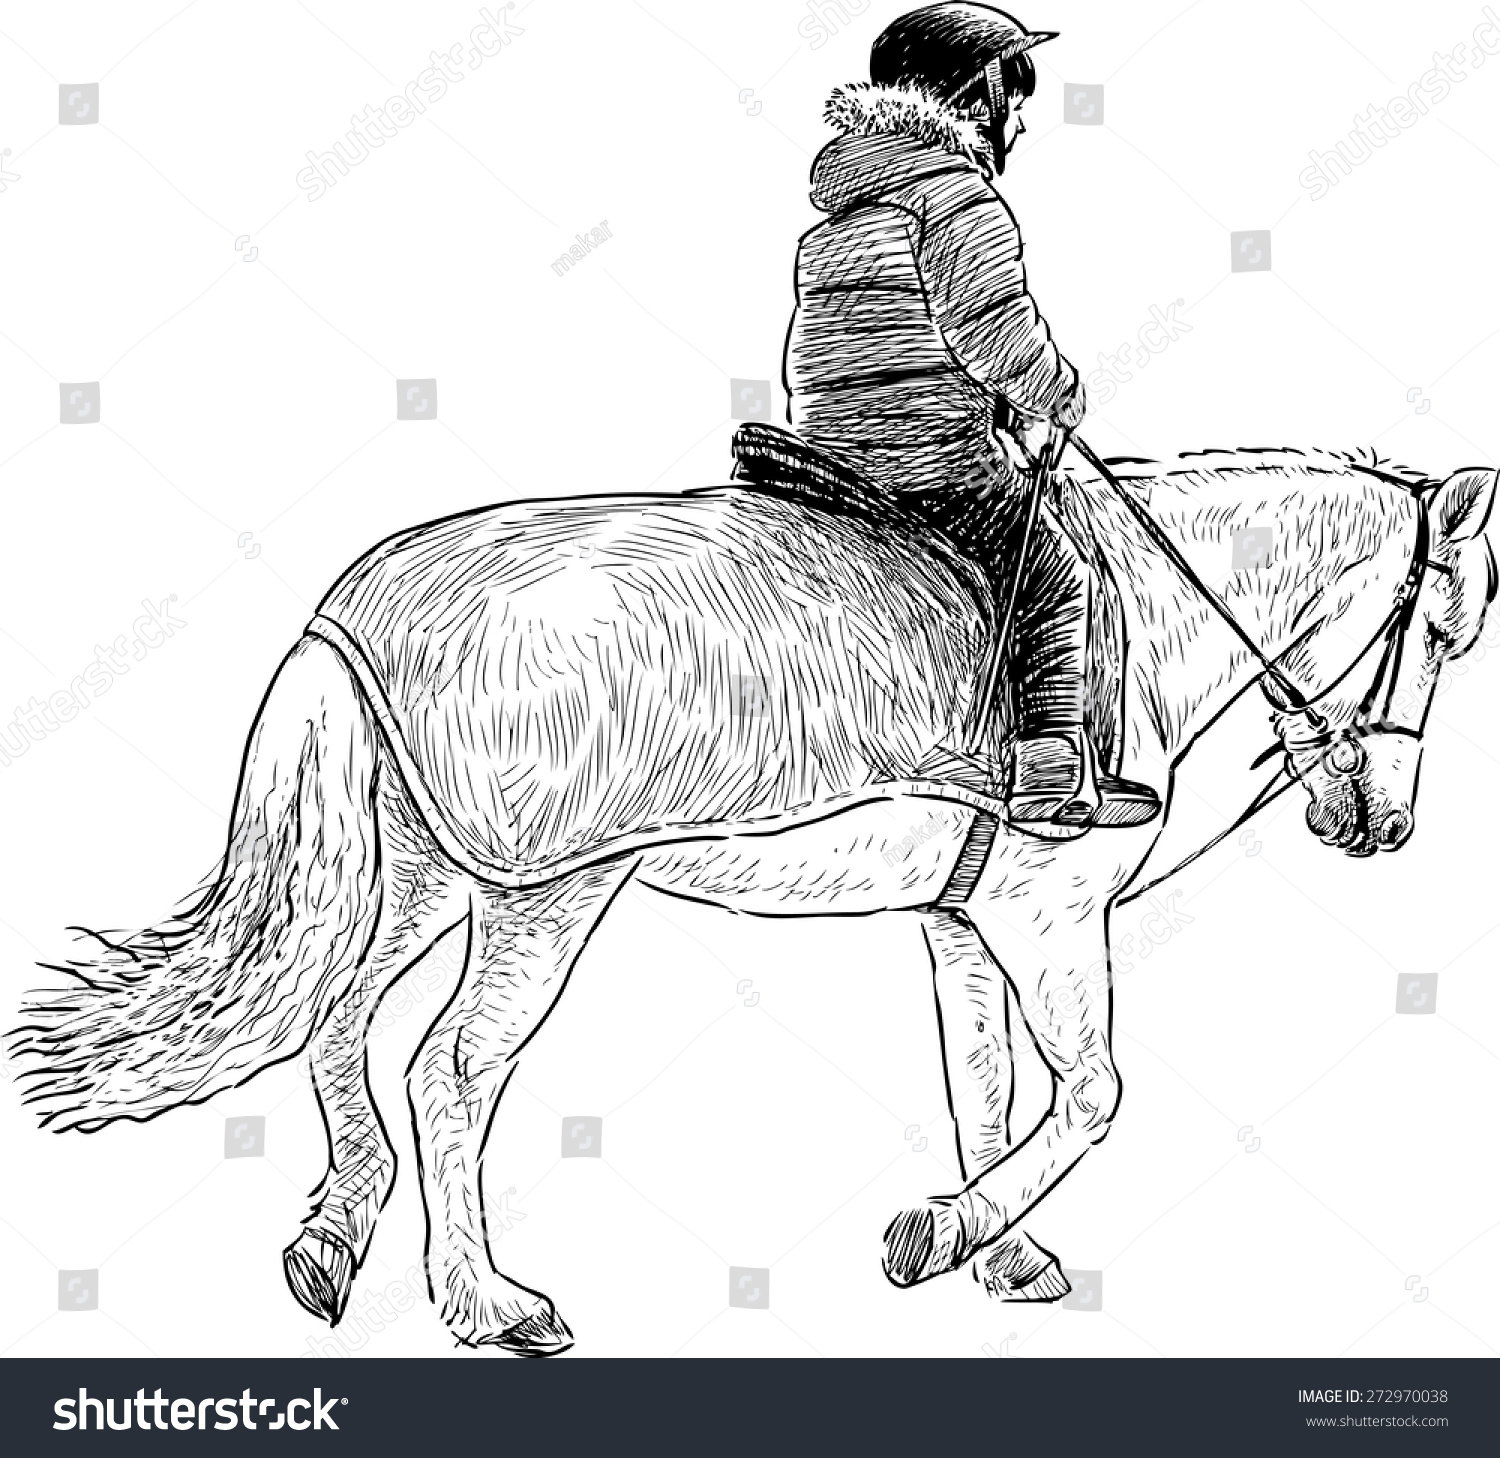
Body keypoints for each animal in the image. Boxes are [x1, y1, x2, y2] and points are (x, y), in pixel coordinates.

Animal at [9, 445, 1497, 1356]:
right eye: (1442, 629)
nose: (1385, 823)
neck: (1150, 608)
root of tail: (357, 606)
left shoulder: (965, 927)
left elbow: (986, 1085)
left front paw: (1002, 1252)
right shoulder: (1051, 919)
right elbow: (1091, 1094)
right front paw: (938, 1234)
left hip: (427, 872)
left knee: (336, 1021)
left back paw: (330, 1243)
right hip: (544, 896)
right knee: (447, 1069)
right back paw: (487, 1303)